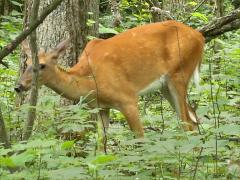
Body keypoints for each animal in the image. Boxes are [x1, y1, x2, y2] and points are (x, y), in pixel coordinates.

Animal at [15, 20, 204, 138]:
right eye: (26, 63)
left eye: (42, 65)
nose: (19, 86)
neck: (88, 82)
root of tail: (200, 37)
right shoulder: (101, 107)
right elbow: (100, 145)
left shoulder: (128, 99)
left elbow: (140, 138)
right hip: (165, 85)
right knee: (193, 119)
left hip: (180, 73)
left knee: (187, 122)